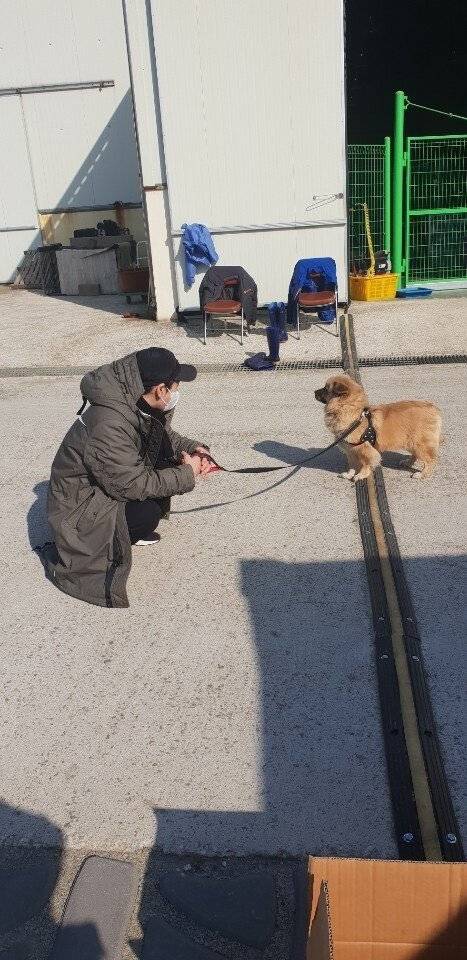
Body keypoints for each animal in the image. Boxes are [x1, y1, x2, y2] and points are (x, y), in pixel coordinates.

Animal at [314, 374, 442, 480]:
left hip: (419, 444)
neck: (353, 413)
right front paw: (349, 474)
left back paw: (422, 474)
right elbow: (352, 466)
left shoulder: (365, 450)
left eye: (325, 389)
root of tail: (433, 408)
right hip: (411, 442)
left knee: (431, 460)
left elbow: (366, 464)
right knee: (416, 455)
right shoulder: (351, 451)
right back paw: (408, 462)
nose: (314, 392)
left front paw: (361, 475)